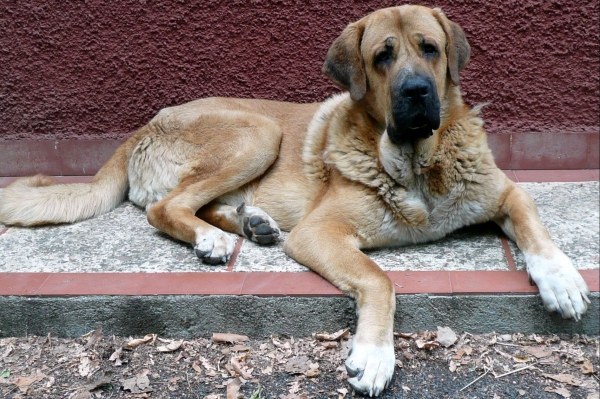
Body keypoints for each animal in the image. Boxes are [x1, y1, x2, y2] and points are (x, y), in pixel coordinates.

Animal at [0, 5, 592, 396]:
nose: (417, 93)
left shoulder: (505, 191)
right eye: (382, 57)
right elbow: (380, 279)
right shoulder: (321, 233)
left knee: (198, 204)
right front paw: (373, 354)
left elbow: (535, 225)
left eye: (430, 48)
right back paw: (215, 238)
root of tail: (143, 126)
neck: (418, 163)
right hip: (257, 133)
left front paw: (561, 280)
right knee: (163, 208)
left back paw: (249, 224)